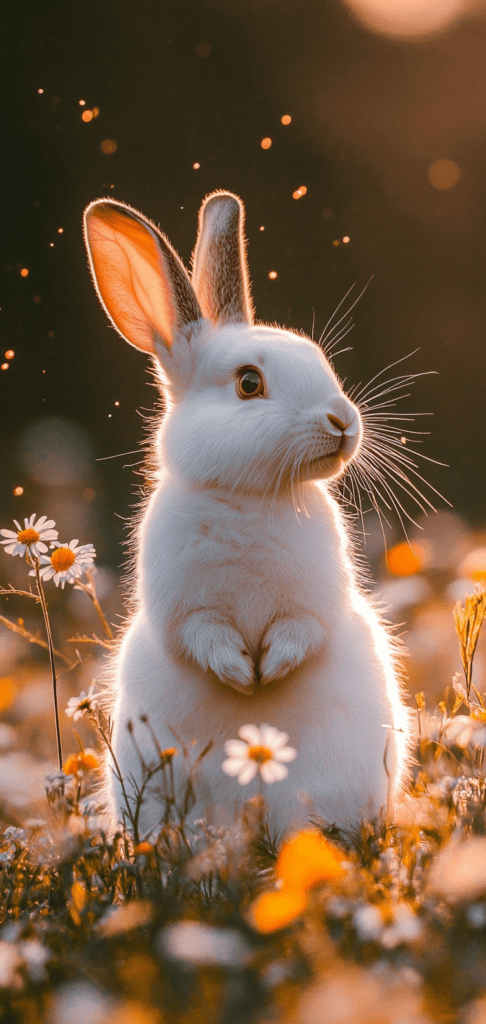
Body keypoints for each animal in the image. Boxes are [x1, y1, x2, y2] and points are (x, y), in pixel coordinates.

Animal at [83, 188, 411, 835]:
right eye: (249, 383)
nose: (343, 421)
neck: (250, 498)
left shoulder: (314, 603)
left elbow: (301, 631)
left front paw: (269, 673)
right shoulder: (184, 606)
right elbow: (201, 634)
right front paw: (241, 675)